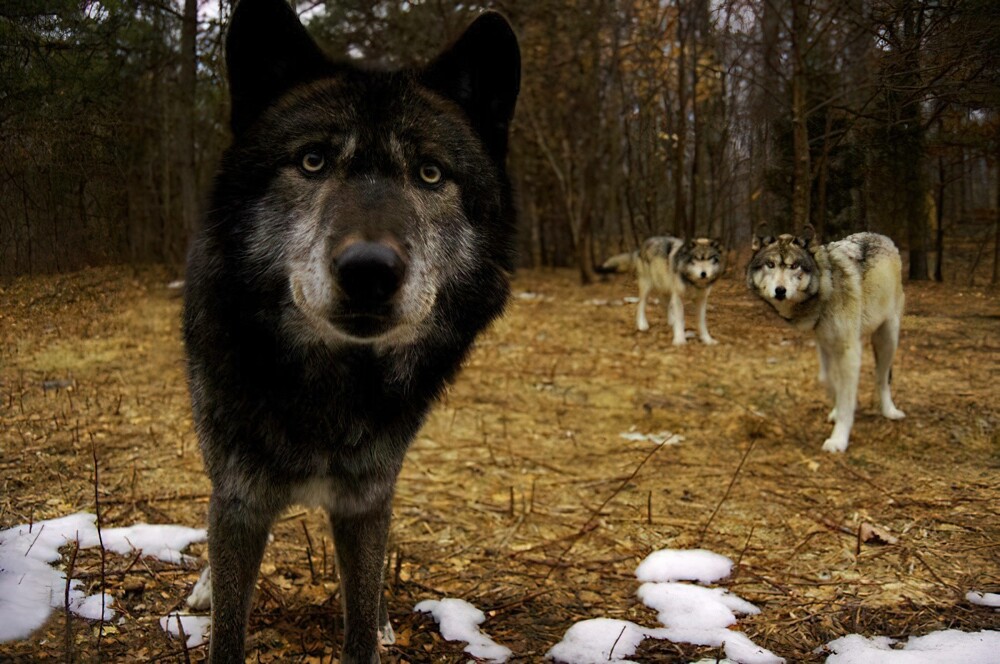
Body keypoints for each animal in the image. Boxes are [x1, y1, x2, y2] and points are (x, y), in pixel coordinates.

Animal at [183, 1, 520, 660]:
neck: (328, 391)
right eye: (312, 161)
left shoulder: (366, 499)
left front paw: (376, 623)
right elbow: (229, 627)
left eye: (430, 173)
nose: (369, 270)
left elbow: (360, 616)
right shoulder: (238, 500)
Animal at [596, 236, 724, 344]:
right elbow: (680, 319)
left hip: (666, 288)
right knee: (641, 304)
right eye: (696, 259)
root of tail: (642, 245)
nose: (703, 274)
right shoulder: (678, 296)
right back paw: (642, 325)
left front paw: (708, 340)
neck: (693, 282)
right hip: (647, 286)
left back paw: (671, 321)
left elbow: (702, 322)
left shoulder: (701, 299)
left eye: (710, 259)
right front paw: (679, 341)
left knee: (664, 304)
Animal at [744, 226, 908, 454]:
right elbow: (829, 381)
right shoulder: (825, 345)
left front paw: (839, 439)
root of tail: (882, 237)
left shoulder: (849, 350)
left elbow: (848, 397)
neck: (826, 287)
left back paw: (890, 411)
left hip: (887, 339)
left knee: (882, 377)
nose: (780, 291)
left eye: (794, 266)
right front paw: (836, 411)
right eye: (770, 264)